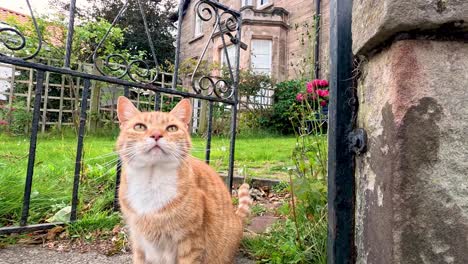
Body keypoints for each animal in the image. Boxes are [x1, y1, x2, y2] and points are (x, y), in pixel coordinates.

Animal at [115, 97, 252, 264]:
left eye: (172, 128)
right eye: (140, 127)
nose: (156, 134)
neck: (151, 182)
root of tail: (237, 218)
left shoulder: (190, 243)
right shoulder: (139, 242)